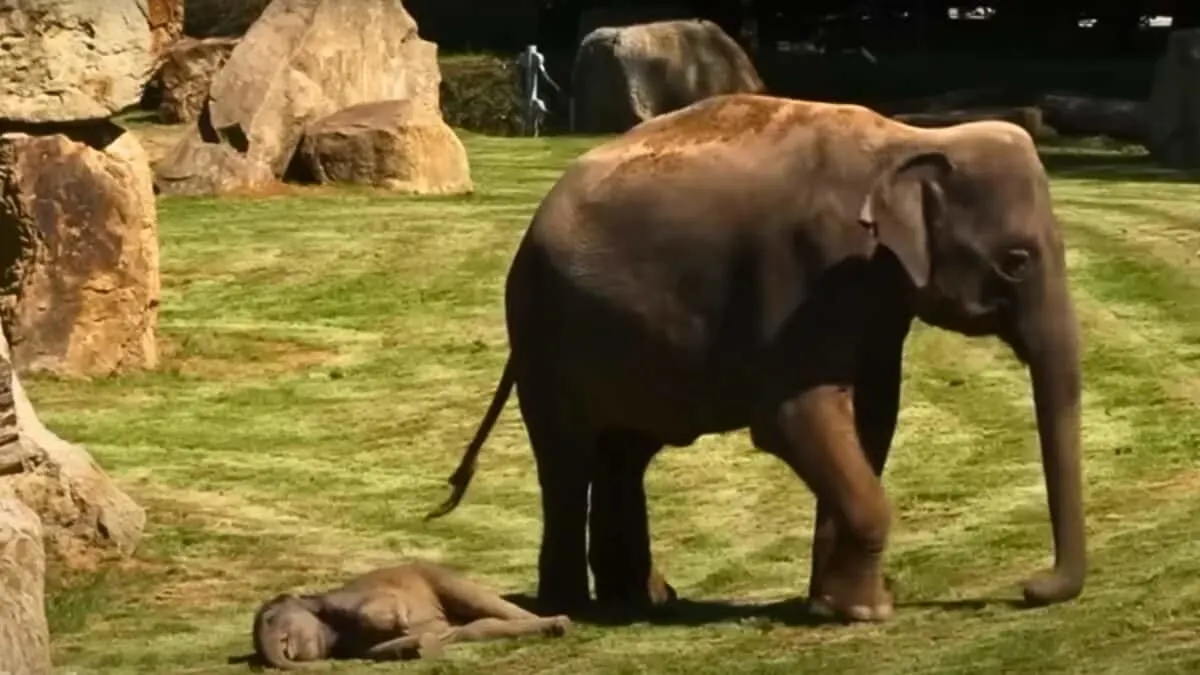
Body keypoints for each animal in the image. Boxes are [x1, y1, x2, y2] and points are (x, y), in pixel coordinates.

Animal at [248, 557, 571, 667]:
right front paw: (423, 645)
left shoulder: (344, 599)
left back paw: (563, 623)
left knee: (483, 605)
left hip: (437, 575)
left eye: (271, 619)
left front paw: (403, 624)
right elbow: (383, 648)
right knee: (479, 628)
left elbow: (385, 604)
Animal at [429, 91, 1089, 624]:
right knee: (567, 458)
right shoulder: (804, 271)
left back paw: (643, 600)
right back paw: (570, 606)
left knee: (624, 454)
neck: (906, 140)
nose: (1030, 587)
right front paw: (867, 613)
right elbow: (797, 417)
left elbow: (872, 418)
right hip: (545, 332)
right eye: (1016, 261)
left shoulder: (872, 295)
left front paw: (833, 606)